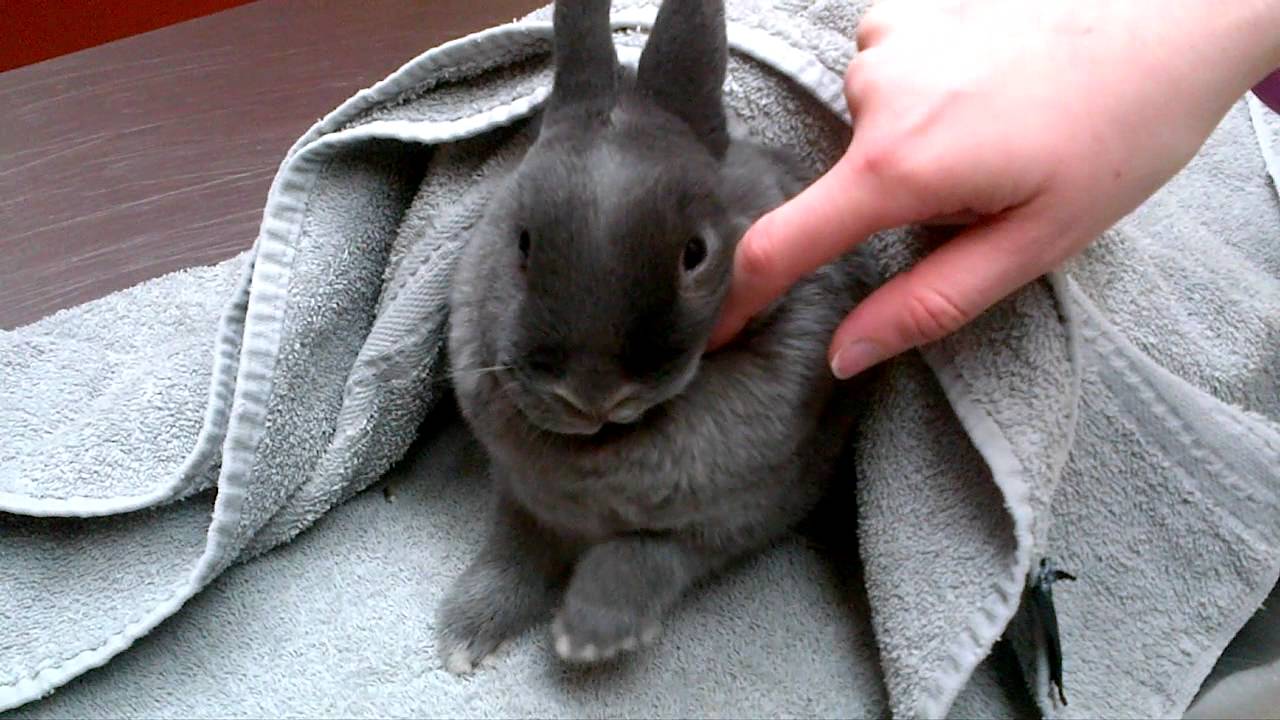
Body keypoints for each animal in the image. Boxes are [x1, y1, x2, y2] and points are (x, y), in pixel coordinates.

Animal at [436, 0, 873, 674]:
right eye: (522, 241)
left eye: (696, 253)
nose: (591, 393)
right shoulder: (523, 499)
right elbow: (513, 552)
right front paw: (464, 634)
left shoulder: (734, 518)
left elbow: (646, 558)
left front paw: (589, 637)